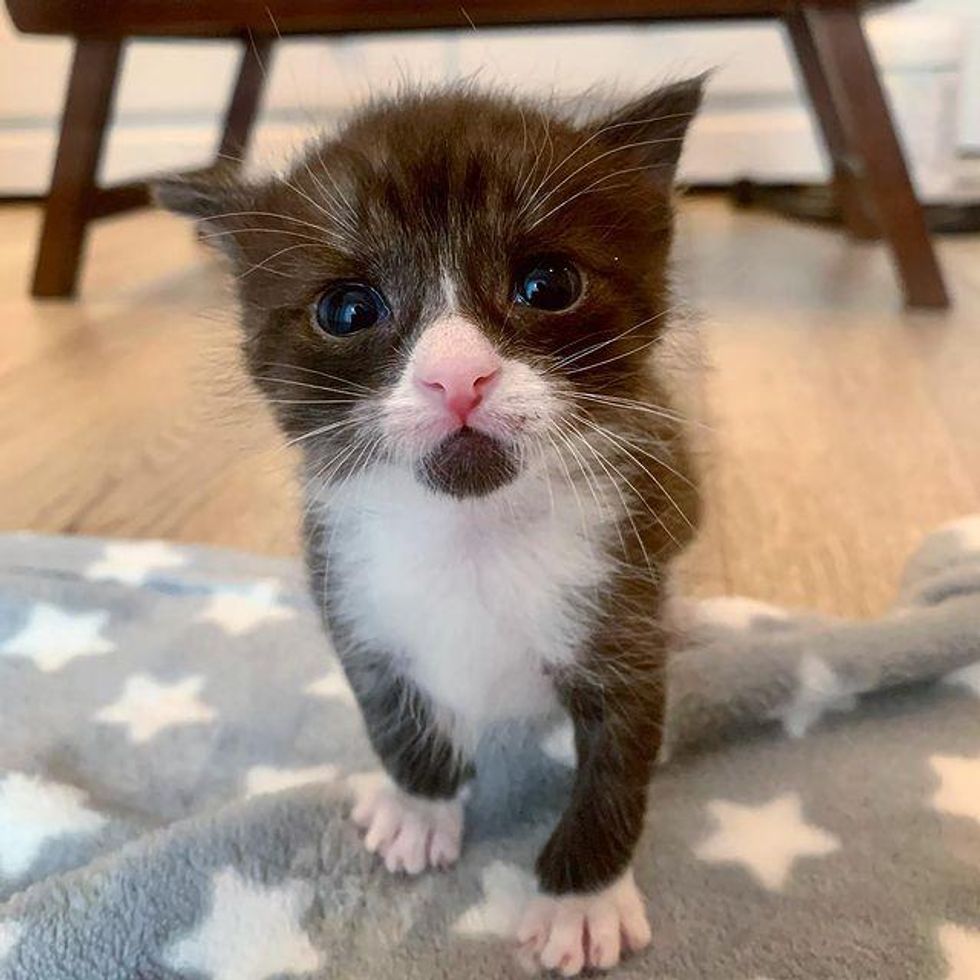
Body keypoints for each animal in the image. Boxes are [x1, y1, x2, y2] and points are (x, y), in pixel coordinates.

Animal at [155, 80, 704, 976]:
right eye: (348, 308)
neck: (470, 531)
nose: (458, 376)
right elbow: (390, 711)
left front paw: (580, 899)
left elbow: (620, 759)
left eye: (548, 285)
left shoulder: (621, 590)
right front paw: (418, 804)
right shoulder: (351, 593)